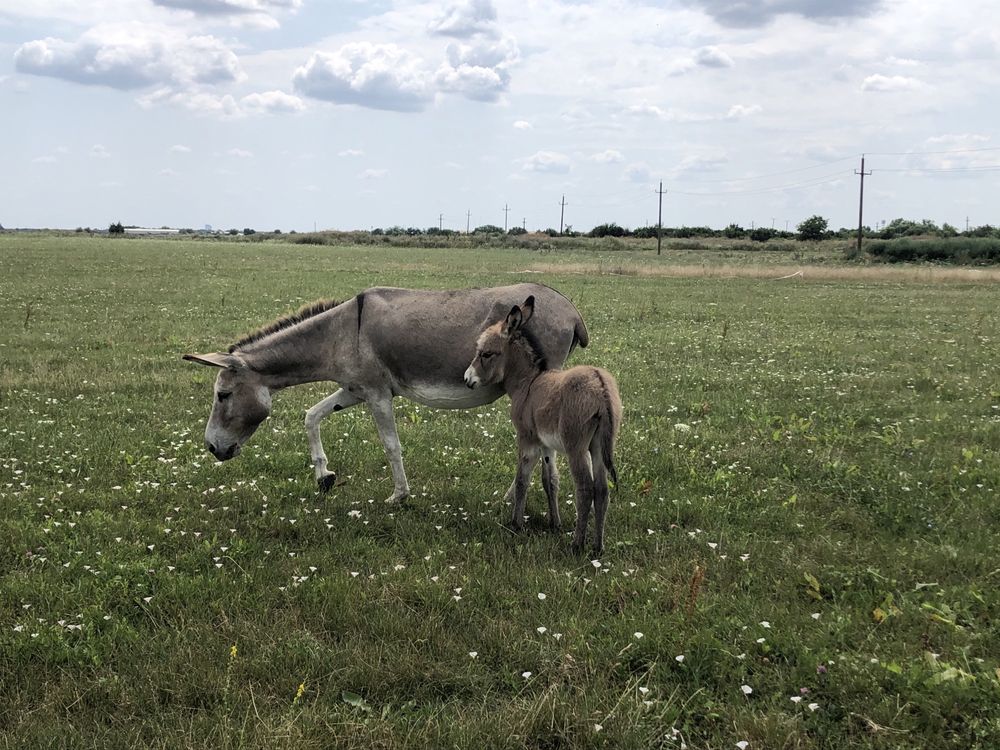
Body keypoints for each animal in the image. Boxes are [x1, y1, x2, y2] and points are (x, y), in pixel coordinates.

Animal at [464, 296, 620, 556]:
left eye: (486, 354)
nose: (467, 379)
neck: (528, 382)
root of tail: (601, 387)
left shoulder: (526, 438)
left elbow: (522, 480)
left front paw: (515, 524)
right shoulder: (546, 444)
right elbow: (550, 481)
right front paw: (554, 523)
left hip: (576, 447)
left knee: (585, 489)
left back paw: (577, 544)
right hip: (598, 446)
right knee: (601, 490)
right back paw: (598, 547)